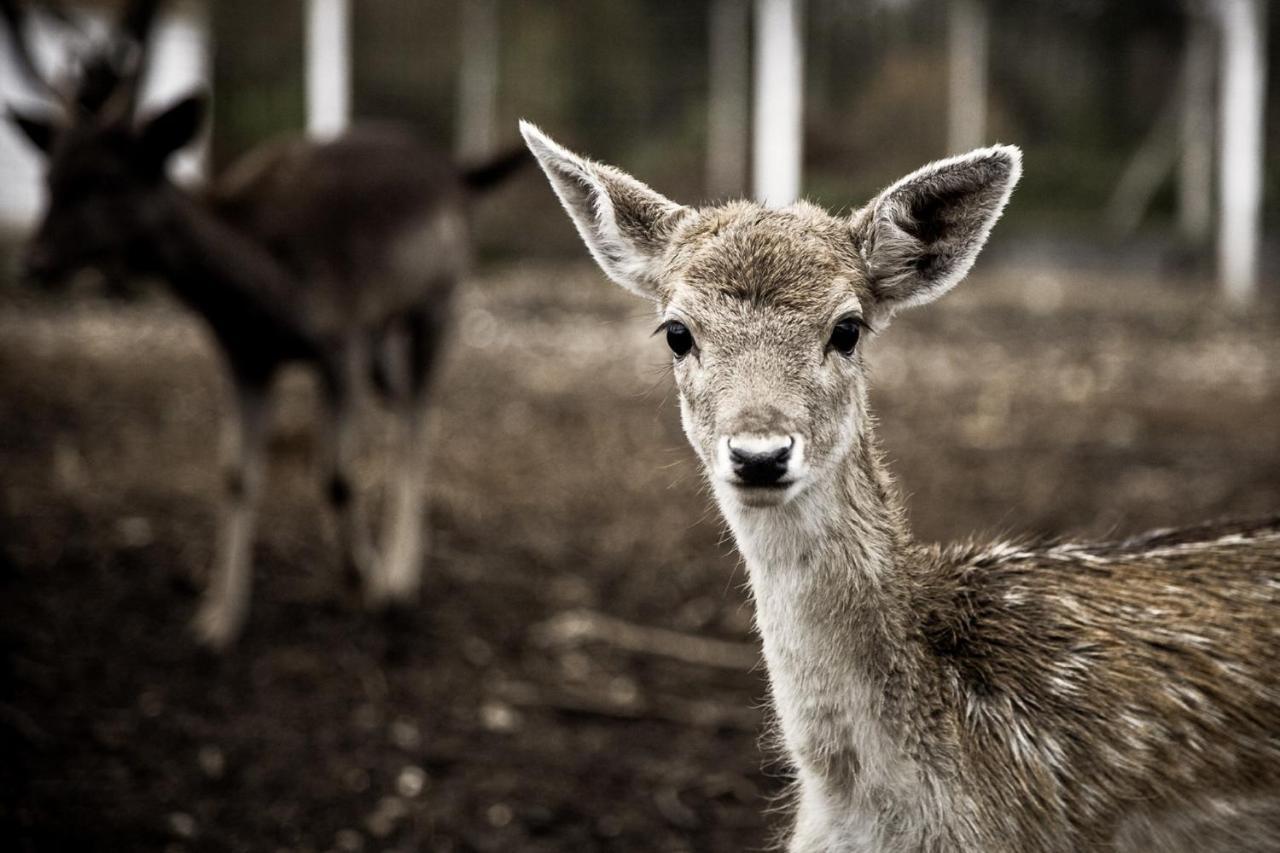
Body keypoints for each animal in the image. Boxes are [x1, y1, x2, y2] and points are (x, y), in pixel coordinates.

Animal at [3, 0, 524, 648]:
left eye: (108, 179)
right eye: (48, 178)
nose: (32, 262)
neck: (260, 285)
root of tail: (458, 170)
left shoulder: (340, 341)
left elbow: (335, 475)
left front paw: (364, 583)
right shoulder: (245, 356)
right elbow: (234, 474)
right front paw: (217, 617)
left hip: (438, 300)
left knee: (420, 417)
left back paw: (401, 576)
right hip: (383, 338)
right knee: (404, 404)